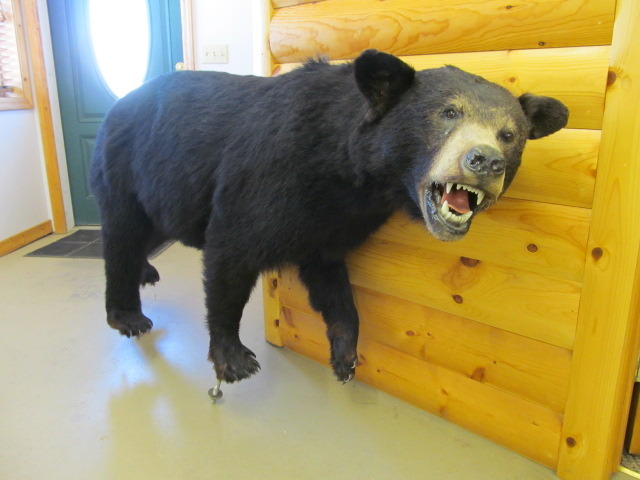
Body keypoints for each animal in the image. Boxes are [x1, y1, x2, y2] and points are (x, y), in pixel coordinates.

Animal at [90, 49, 568, 387]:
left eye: (509, 135)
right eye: (449, 113)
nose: (485, 161)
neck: (346, 171)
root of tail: (116, 107)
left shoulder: (330, 219)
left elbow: (330, 280)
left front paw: (345, 354)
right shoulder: (265, 177)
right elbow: (231, 251)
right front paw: (233, 356)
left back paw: (145, 270)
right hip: (127, 167)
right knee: (122, 234)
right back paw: (127, 313)